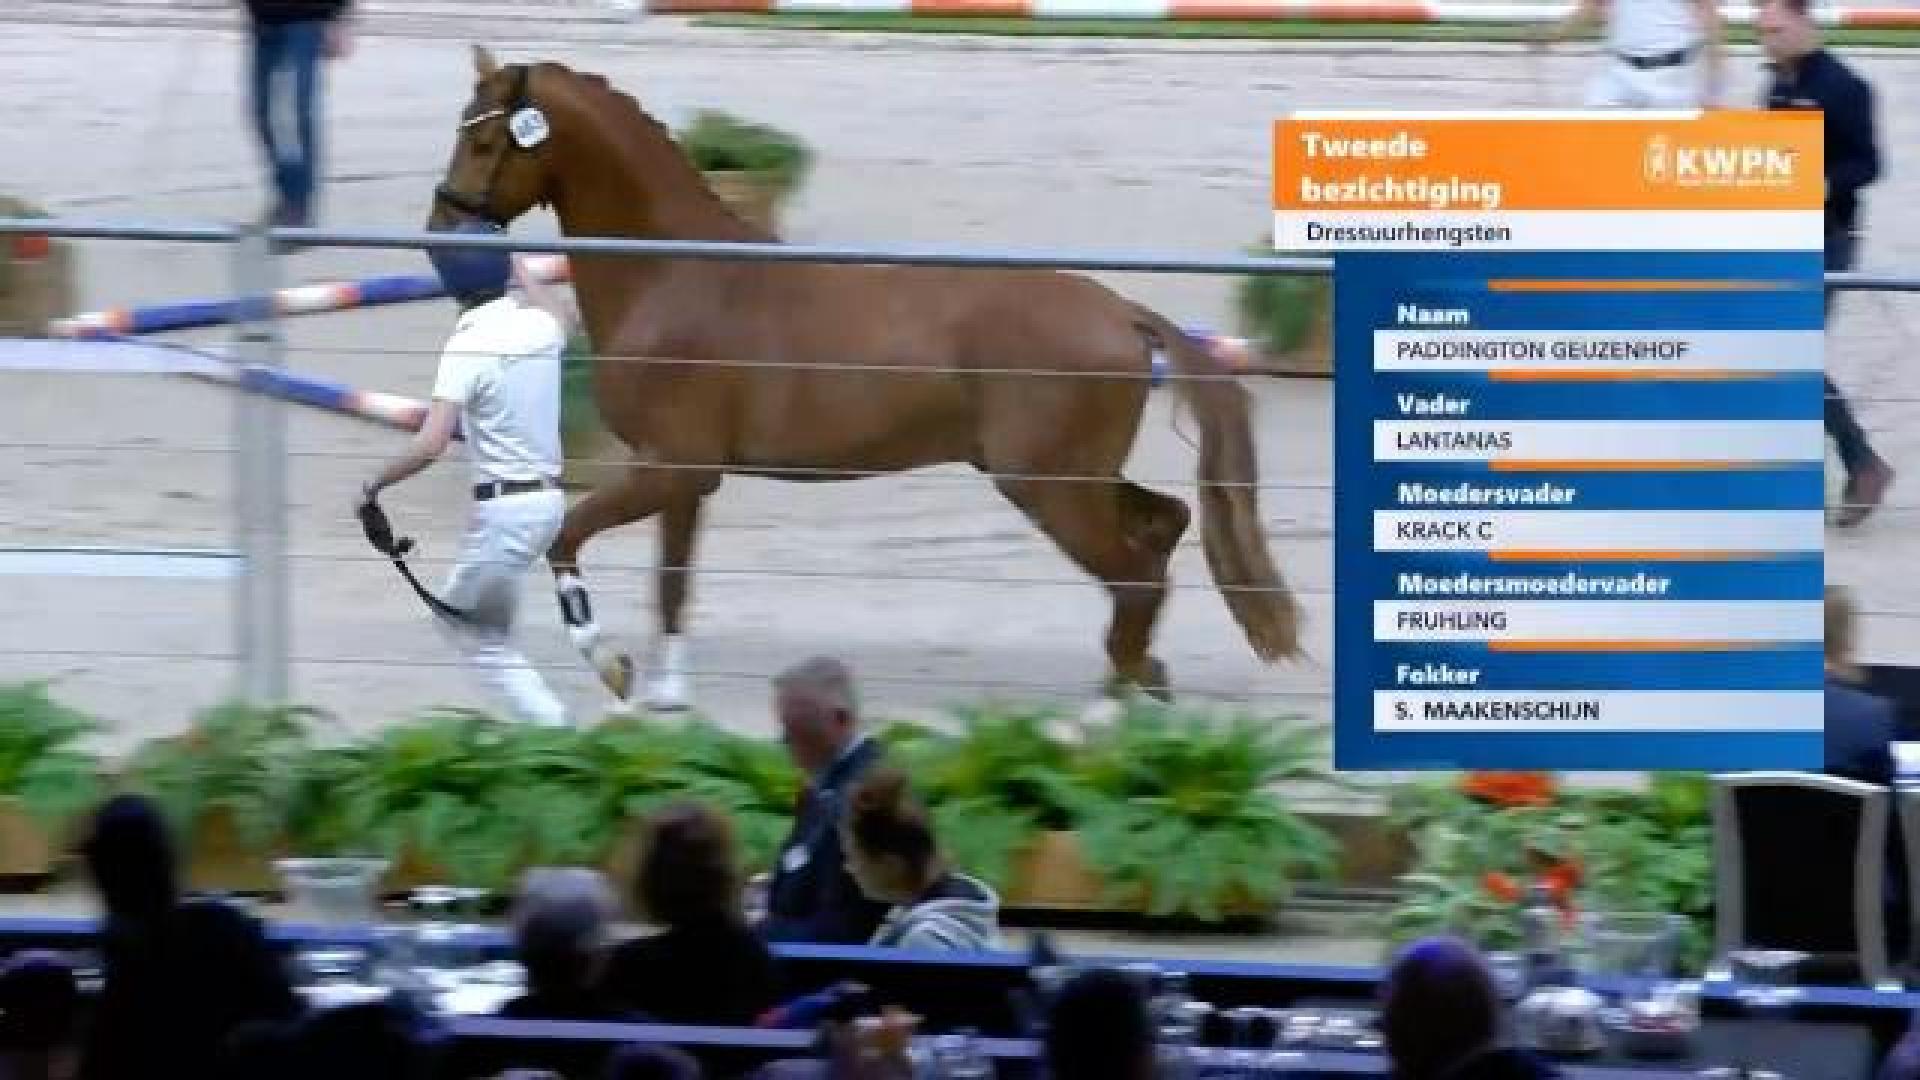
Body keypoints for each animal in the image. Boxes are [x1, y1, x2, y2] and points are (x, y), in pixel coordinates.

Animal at [426, 45, 1302, 712]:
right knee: (1164, 529)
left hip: (1047, 484)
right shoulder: (682, 477)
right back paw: (1141, 680)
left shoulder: (668, 467)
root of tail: (1119, 310)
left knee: (1136, 574)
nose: (441, 229)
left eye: (485, 142)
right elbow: (671, 585)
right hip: (1071, 476)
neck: (676, 276)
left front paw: (610, 666)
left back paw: (1110, 707)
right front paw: (669, 700)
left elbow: (568, 539)